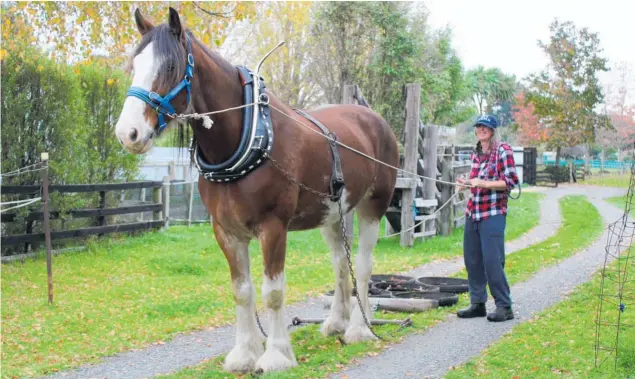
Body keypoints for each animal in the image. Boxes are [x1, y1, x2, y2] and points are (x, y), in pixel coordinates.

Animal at [115, 8, 398, 374]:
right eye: (134, 65)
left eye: (170, 67)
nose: (128, 133)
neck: (247, 136)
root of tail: (372, 117)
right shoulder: (226, 231)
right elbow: (242, 291)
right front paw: (245, 353)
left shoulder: (273, 227)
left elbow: (272, 292)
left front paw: (277, 354)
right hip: (332, 213)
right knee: (339, 263)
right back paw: (337, 321)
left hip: (373, 206)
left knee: (362, 264)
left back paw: (359, 329)